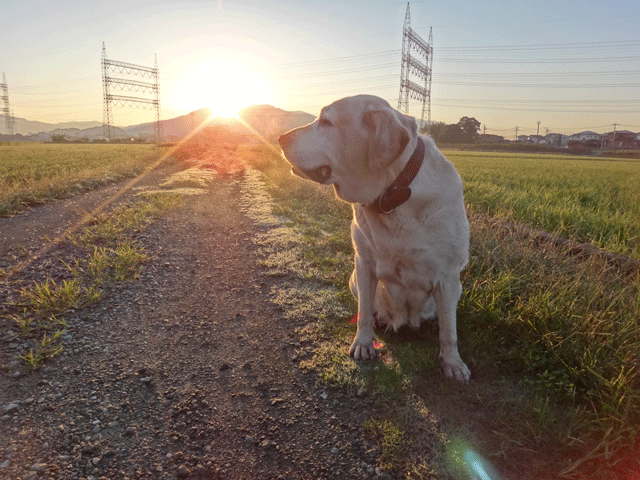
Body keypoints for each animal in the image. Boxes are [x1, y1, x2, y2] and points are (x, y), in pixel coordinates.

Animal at [280, 95, 470, 380]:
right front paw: (363, 343)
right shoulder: (364, 263)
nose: (280, 138)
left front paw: (452, 363)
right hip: (353, 280)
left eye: (325, 121)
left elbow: (449, 330)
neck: (393, 195)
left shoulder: (447, 277)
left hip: (456, 289)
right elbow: (364, 312)